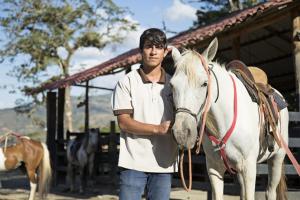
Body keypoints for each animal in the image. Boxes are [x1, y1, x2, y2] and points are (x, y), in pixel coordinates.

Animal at [170, 38, 288, 200]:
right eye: (172, 85)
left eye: (204, 83)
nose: (182, 133)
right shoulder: (214, 169)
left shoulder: (249, 168)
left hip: (277, 158)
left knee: (270, 191)